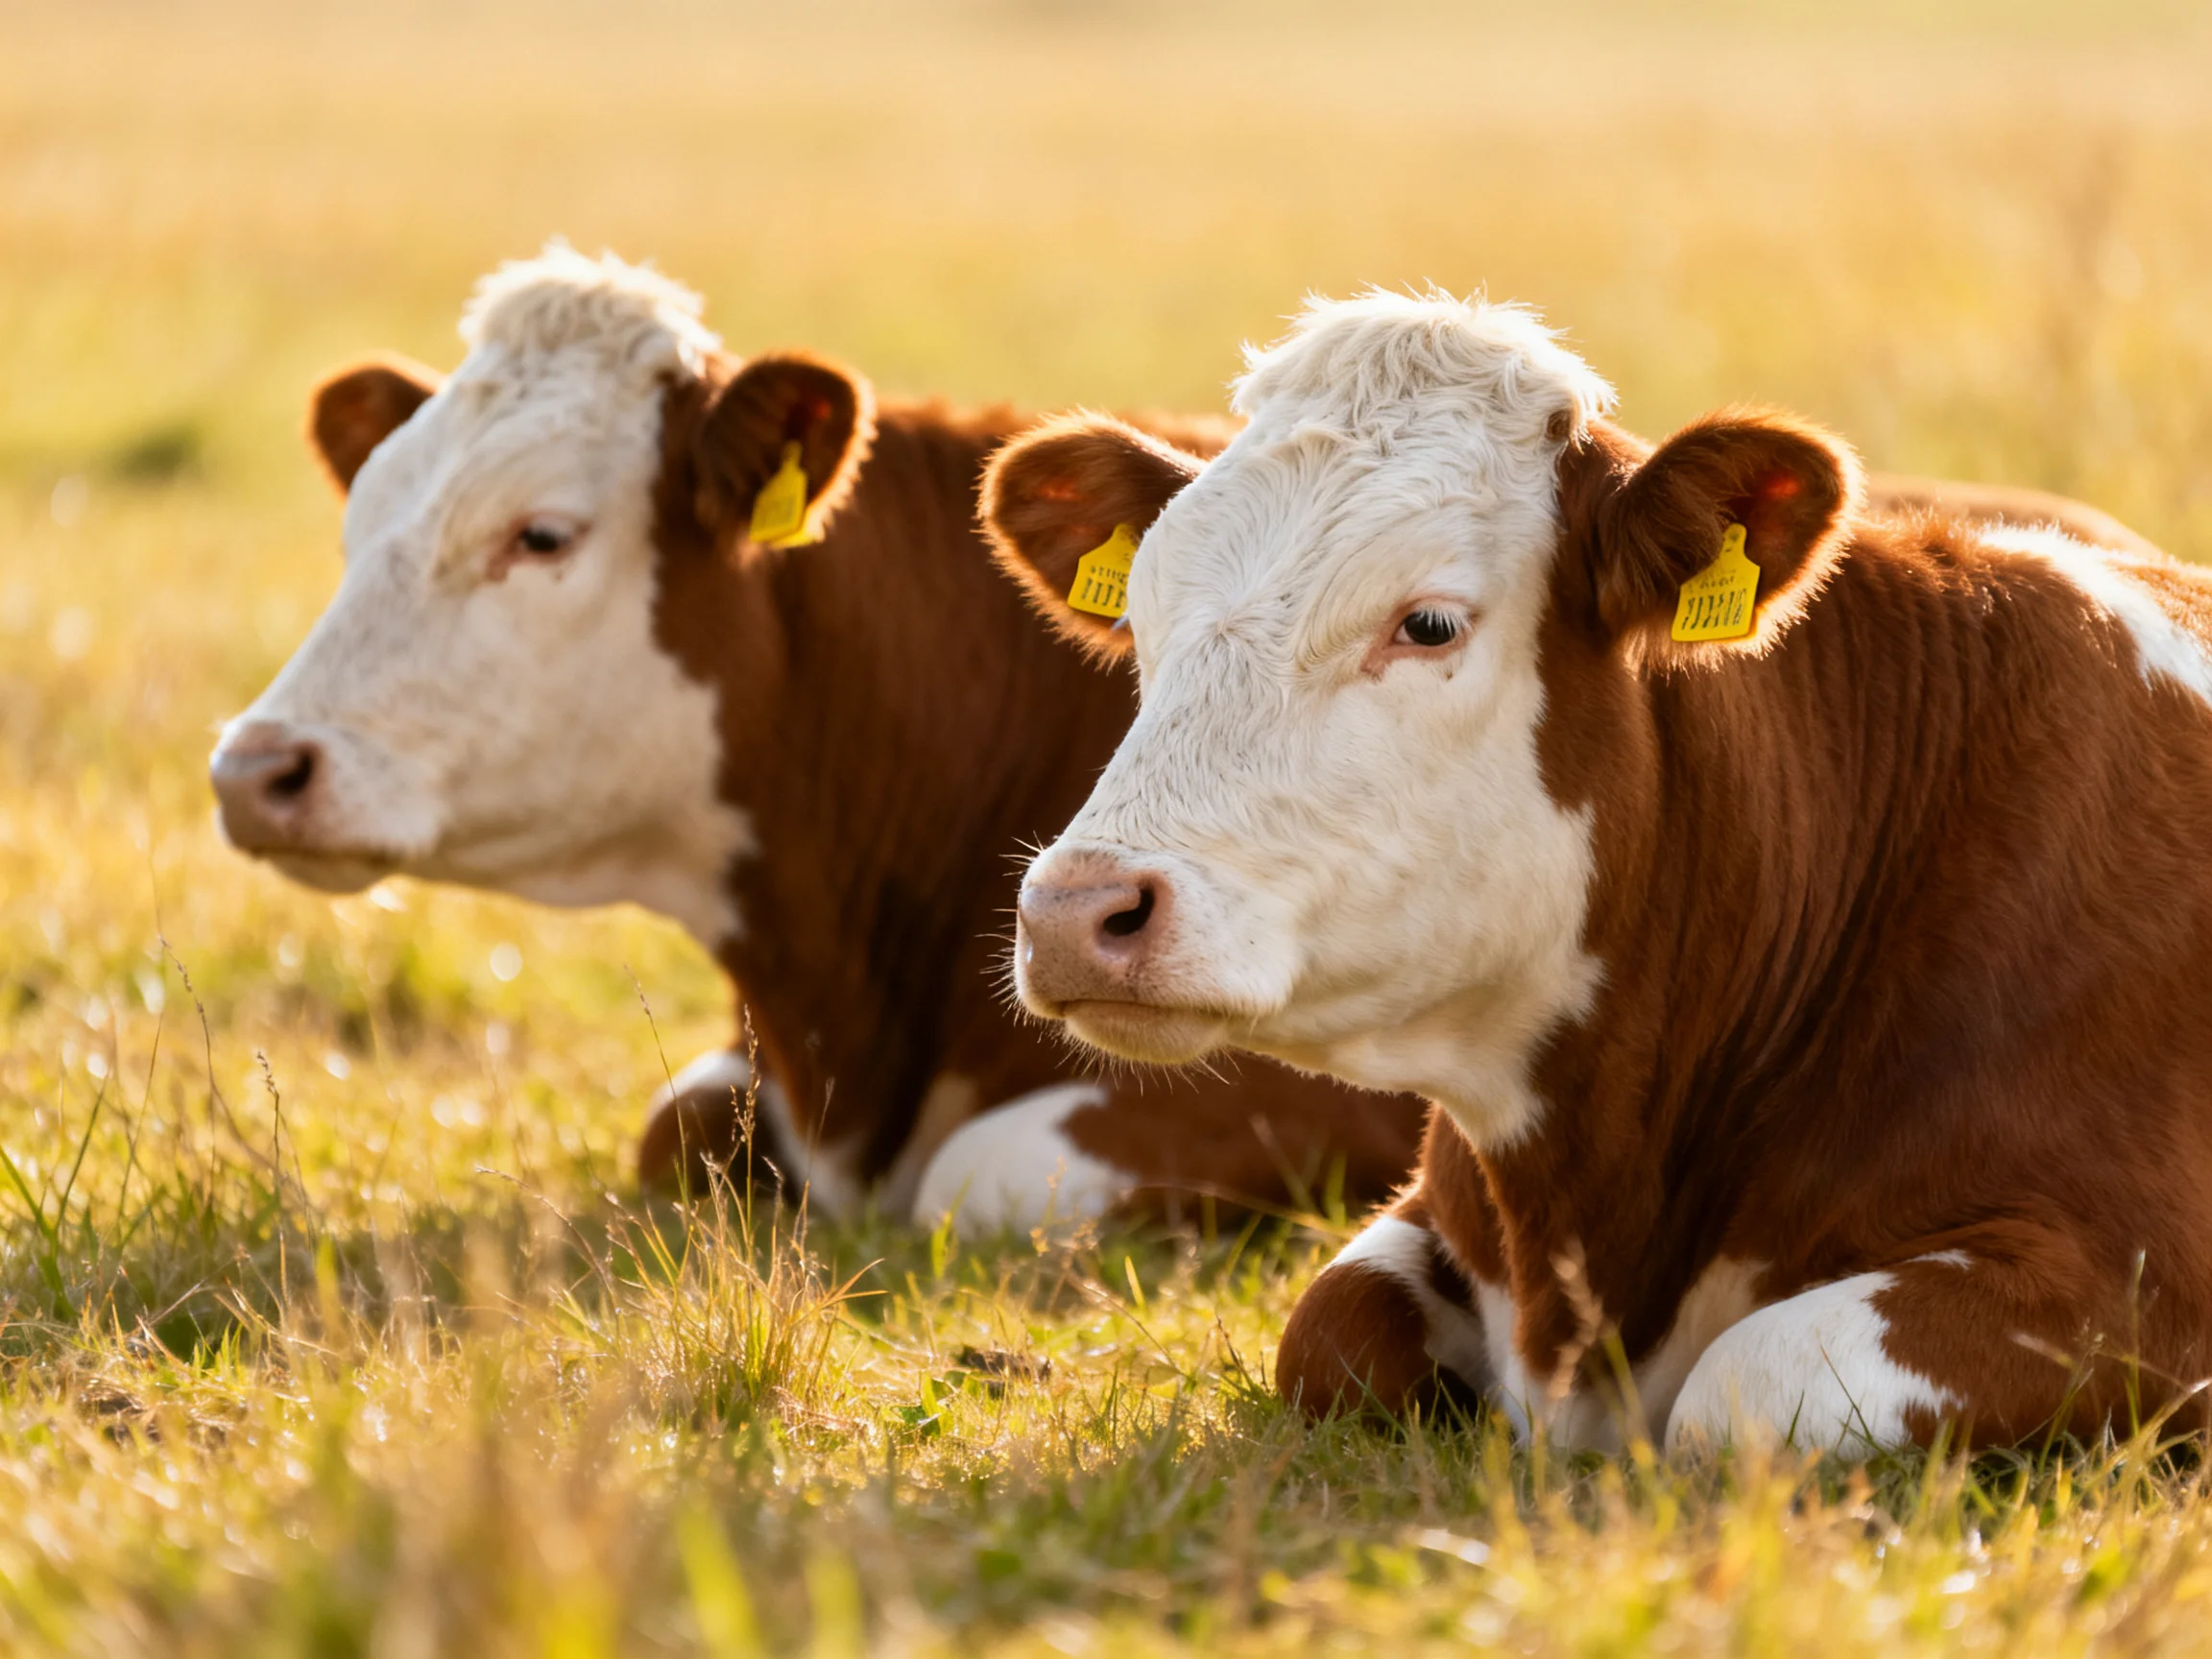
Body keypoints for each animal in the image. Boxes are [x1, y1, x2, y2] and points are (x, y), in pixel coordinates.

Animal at [981, 288, 2211, 1456]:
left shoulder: (2137, 1279)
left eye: (1429, 624)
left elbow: (1745, 1388)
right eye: (1144, 617)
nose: (1076, 911)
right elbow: (1326, 1331)